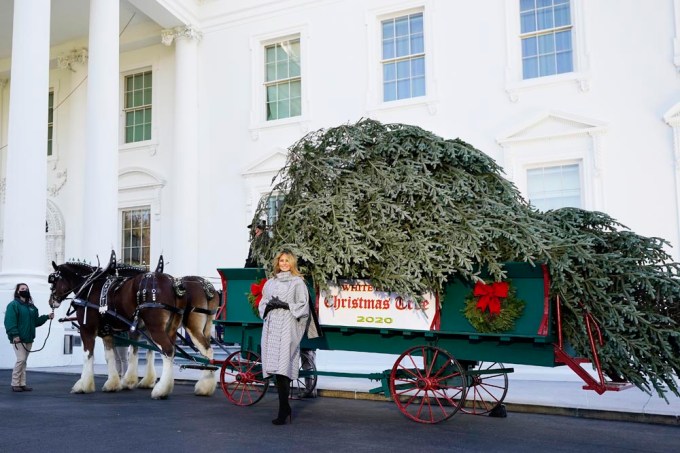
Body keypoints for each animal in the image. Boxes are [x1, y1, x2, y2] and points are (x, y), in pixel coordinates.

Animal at [48, 260, 187, 398]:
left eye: (53, 280)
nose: (51, 301)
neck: (89, 286)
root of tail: (173, 283)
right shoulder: (107, 332)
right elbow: (110, 356)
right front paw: (113, 383)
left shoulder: (87, 329)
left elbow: (87, 355)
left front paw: (83, 385)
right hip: (168, 328)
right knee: (165, 350)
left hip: (155, 327)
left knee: (167, 350)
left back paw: (162, 389)